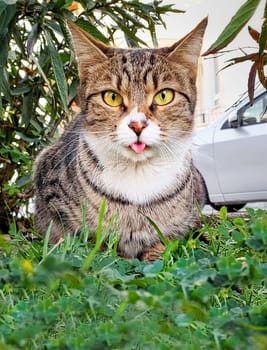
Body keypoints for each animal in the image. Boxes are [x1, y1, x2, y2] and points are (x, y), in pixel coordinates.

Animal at [33, 17, 208, 262]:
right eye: (112, 97)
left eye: (164, 95)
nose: (137, 125)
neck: (137, 177)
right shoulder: (49, 188)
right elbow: (87, 240)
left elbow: (166, 241)